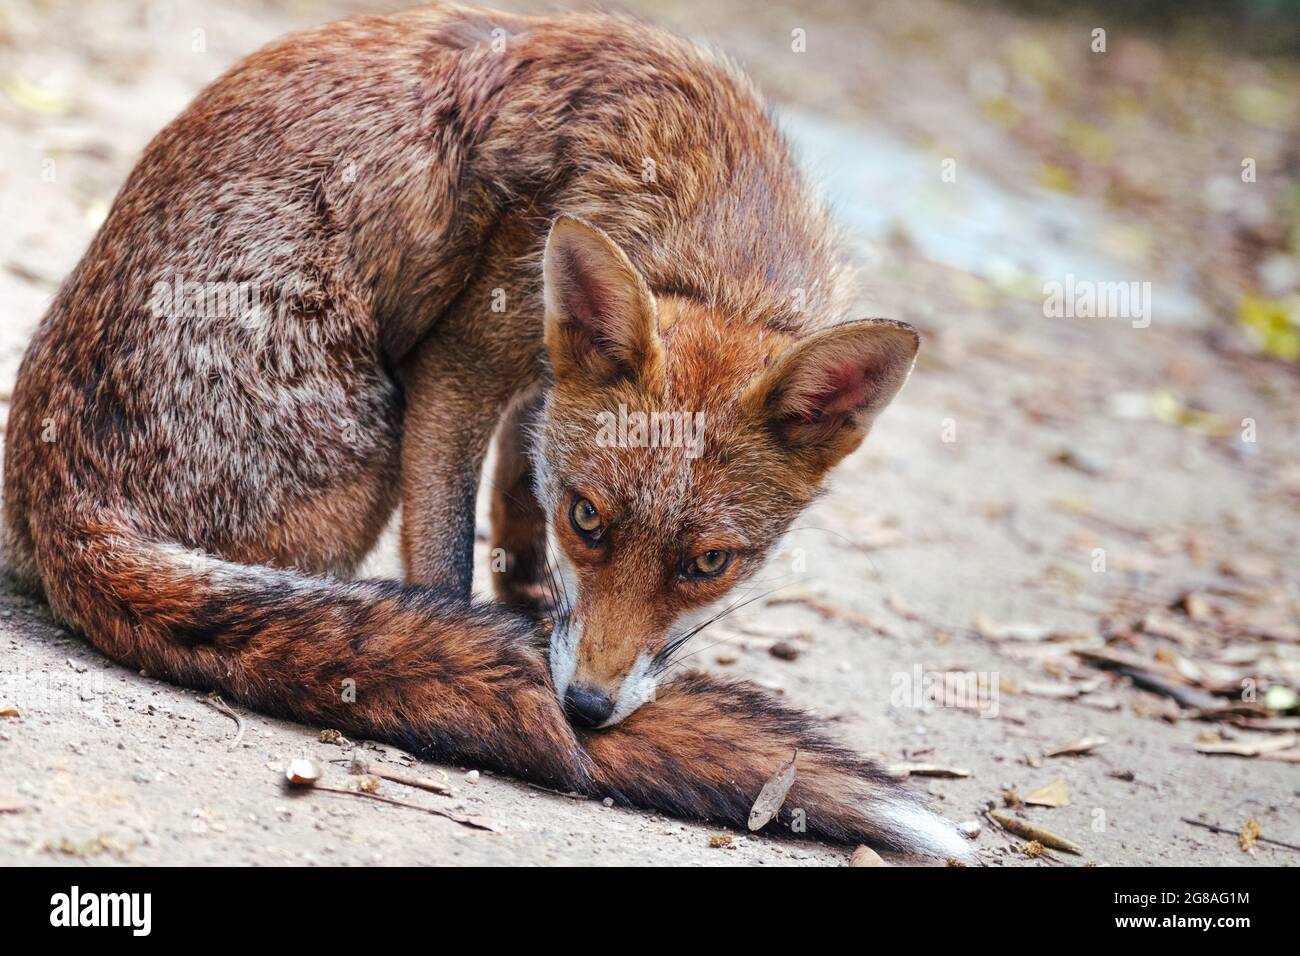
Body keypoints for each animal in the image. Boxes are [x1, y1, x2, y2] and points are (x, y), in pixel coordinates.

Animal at [2, 4, 970, 859]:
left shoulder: (544, 375)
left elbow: (516, 494)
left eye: (708, 565)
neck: (701, 196)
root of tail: (66, 507)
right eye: (591, 520)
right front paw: (476, 656)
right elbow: (446, 564)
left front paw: (526, 605)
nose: (584, 709)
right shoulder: (458, 366)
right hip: (371, 437)